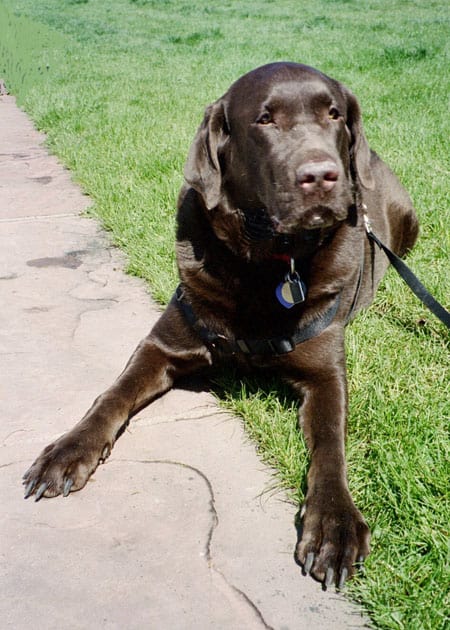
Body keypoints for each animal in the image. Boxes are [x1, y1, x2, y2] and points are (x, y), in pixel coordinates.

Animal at [23, 61, 418, 592]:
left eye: (333, 113)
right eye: (265, 120)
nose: (321, 175)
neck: (266, 264)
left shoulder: (326, 375)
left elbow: (331, 446)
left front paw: (334, 525)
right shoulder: (162, 345)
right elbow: (112, 394)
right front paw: (69, 449)